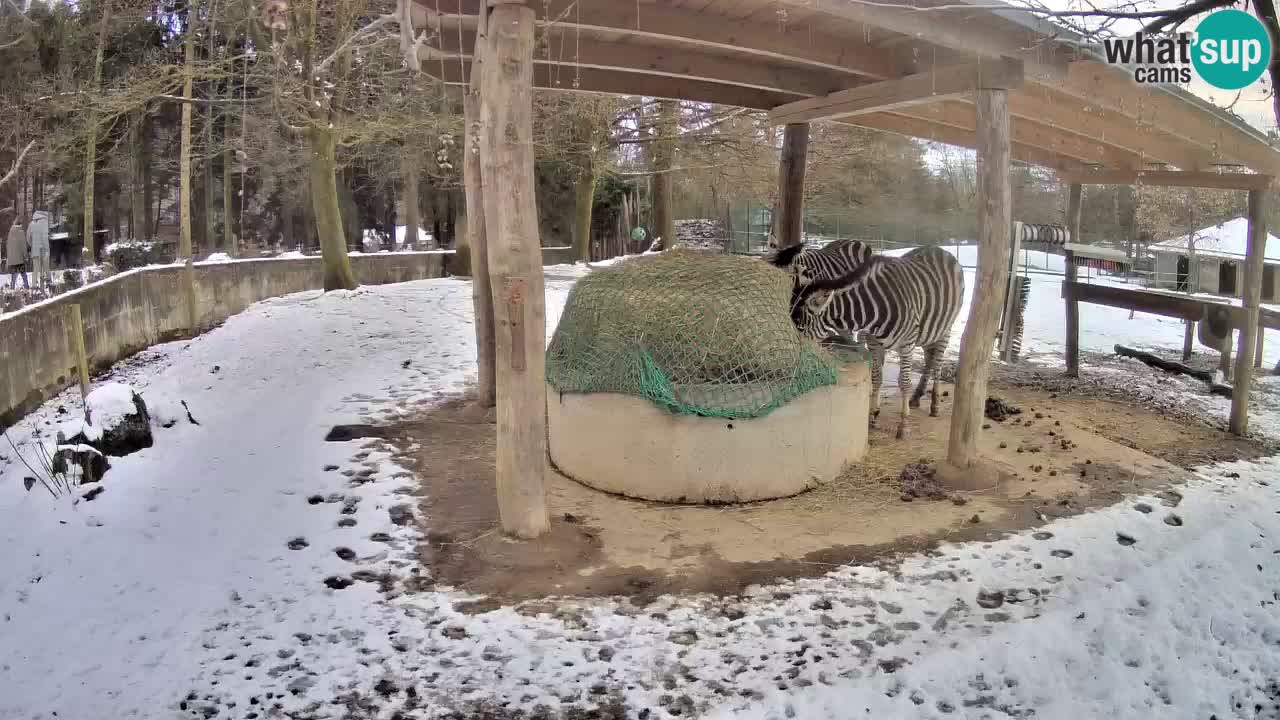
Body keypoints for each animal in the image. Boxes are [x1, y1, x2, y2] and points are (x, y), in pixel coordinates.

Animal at [783, 244, 962, 438]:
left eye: (800, 328)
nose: (792, 368)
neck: (871, 312)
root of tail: (939, 249)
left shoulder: (907, 344)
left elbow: (904, 382)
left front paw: (904, 425)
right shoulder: (874, 343)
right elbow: (876, 378)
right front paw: (873, 415)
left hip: (945, 329)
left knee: (937, 364)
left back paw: (934, 405)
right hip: (928, 333)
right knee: (929, 360)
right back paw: (916, 398)